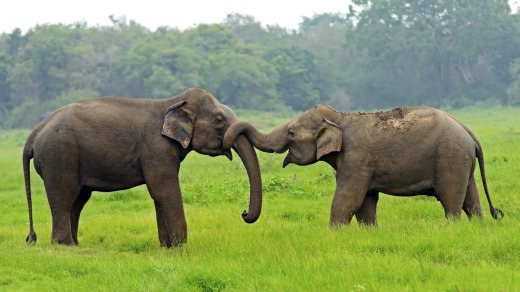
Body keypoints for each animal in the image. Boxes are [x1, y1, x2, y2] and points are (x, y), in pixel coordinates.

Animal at [22, 88, 262, 248]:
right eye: (219, 120)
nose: (243, 212)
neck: (173, 103)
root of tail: (36, 131)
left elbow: (159, 195)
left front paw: (167, 248)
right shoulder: (156, 148)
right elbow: (165, 191)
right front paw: (180, 248)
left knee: (78, 199)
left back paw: (74, 244)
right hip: (59, 155)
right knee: (64, 195)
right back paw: (64, 245)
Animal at [224, 106, 504, 227]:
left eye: (291, 133)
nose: (244, 213)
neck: (338, 118)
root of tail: (468, 131)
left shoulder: (356, 158)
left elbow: (348, 198)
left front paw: (334, 233)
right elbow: (366, 201)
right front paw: (370, 231)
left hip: (450, 158)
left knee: (451, 199)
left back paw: (451, 229)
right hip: (462, 160)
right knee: (471, 199)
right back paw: (478, 228)